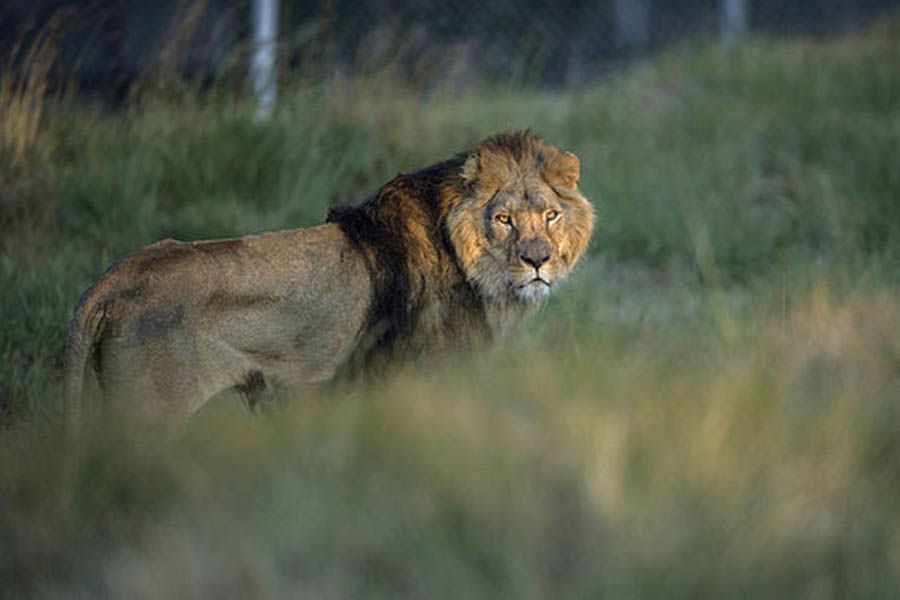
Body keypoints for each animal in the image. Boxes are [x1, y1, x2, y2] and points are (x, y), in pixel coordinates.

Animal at [65, 132, 596, 428]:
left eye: (550, 215)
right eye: (504, 220)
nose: (537, 261)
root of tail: (114, 280)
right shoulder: (420, 377)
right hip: (147, 413)